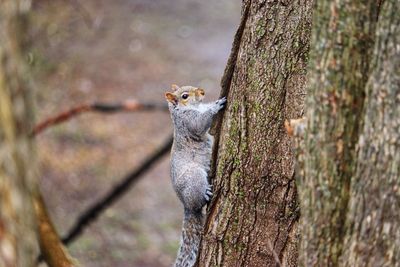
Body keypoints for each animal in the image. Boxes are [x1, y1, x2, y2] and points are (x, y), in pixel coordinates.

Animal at [165, 84, 227, 267]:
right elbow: (199, 124)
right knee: (200, 200)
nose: (202, 92)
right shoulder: (188, 122)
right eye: (184, 96)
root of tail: (187, 205)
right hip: (195, 177)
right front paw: (216, 105)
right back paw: (206, 193)